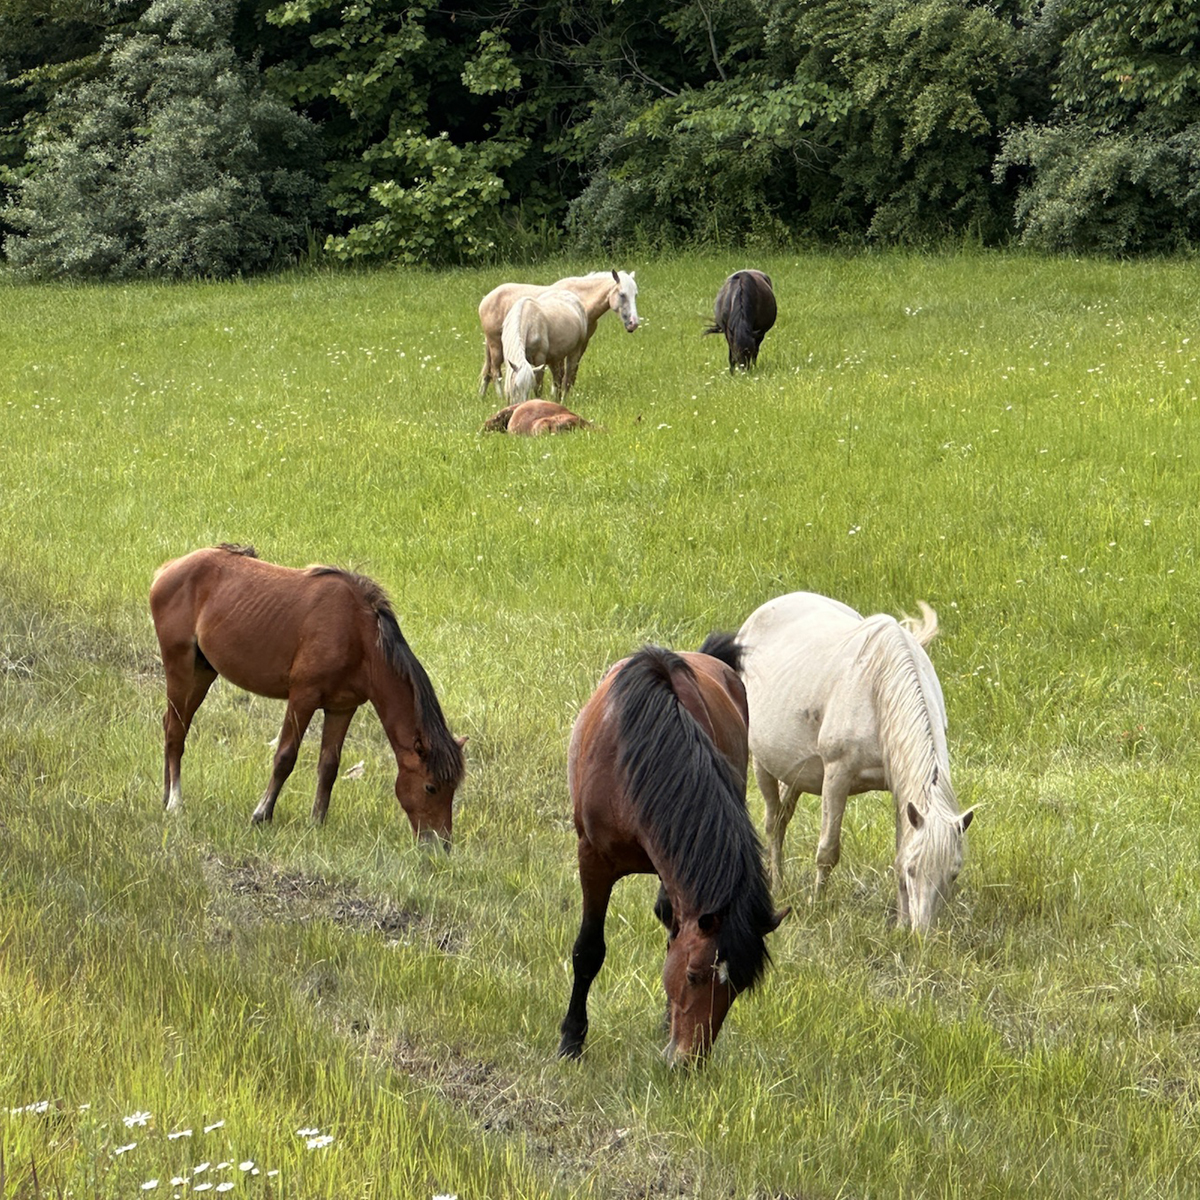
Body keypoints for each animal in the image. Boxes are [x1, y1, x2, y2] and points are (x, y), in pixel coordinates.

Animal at [149, 545, 466, 843]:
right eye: (431, 787)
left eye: (453, 788)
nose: (441, 845)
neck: (358, 635)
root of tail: (167, 569)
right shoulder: (302, 698)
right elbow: (285, 757)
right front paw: (262, 814)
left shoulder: (342, 708)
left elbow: (329, 766)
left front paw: (316, 822)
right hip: (179, 666)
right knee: (175, 731)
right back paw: (175, 802)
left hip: (203, 671)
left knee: (173, 725)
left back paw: (165, 796)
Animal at [478, 269, 640, 397]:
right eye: (622, 294)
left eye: (635, 295)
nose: (634, 323)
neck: (580, 300)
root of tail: (486, 300)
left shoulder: (580, 345)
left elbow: (569, 374)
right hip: (496, 345)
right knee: (495, 372)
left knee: (487, 372)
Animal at [559, 633, 786, 1065]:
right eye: (694, 975)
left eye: (736, 990)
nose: (689, 1063)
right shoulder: (592, 858)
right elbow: (588, 950)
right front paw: (571, 1040)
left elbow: (671, 934)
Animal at [737, 592, 975, 931]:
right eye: (915, 869)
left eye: (953, 874)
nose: (922, 933)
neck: (880, 688)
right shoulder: (837, 776)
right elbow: (828, 850)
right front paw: (817, 905)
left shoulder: (900, 790)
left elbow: (898, 849)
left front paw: (900, 925)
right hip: (762, 764)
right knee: (773, 824)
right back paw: (777, 886)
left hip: (795, 772)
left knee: (782, 817)